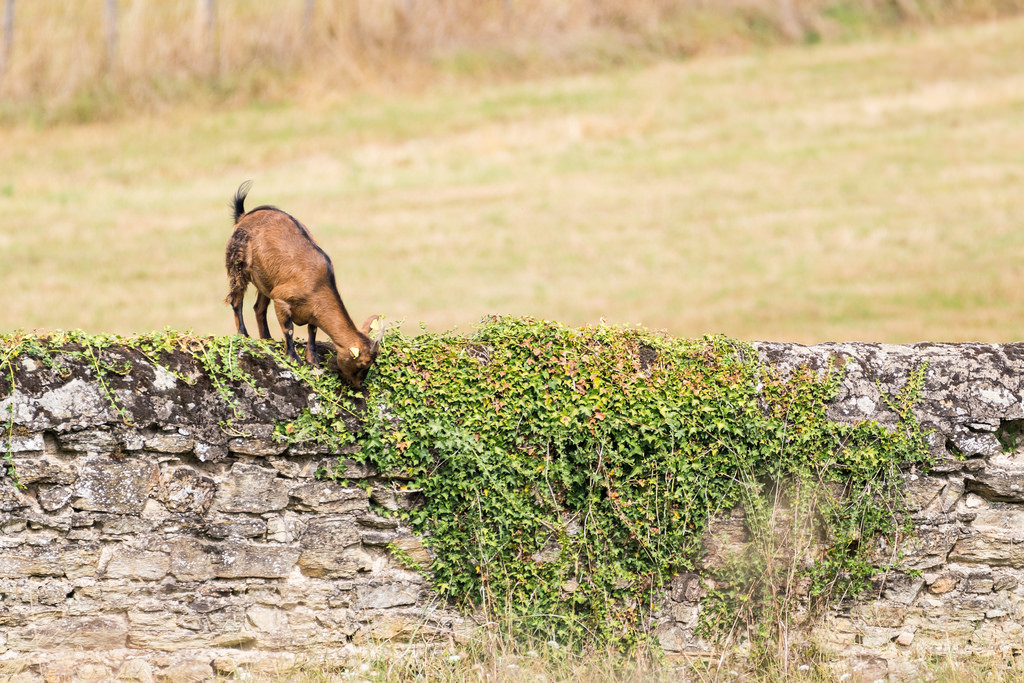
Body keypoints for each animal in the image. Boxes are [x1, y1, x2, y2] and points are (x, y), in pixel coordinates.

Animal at [225, 181, 385, 387]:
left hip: (266, 280)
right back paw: (243, 334)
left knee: (259, 308)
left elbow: (312, 330)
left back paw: (268, 339)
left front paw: (313, 359)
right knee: (236, 300)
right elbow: (289, 329)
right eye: (363, 363)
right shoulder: (281, 299)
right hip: (237, 265)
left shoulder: (309, 308)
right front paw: (294, 358)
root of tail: (243, 216)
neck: (318, 284)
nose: (358, 386)